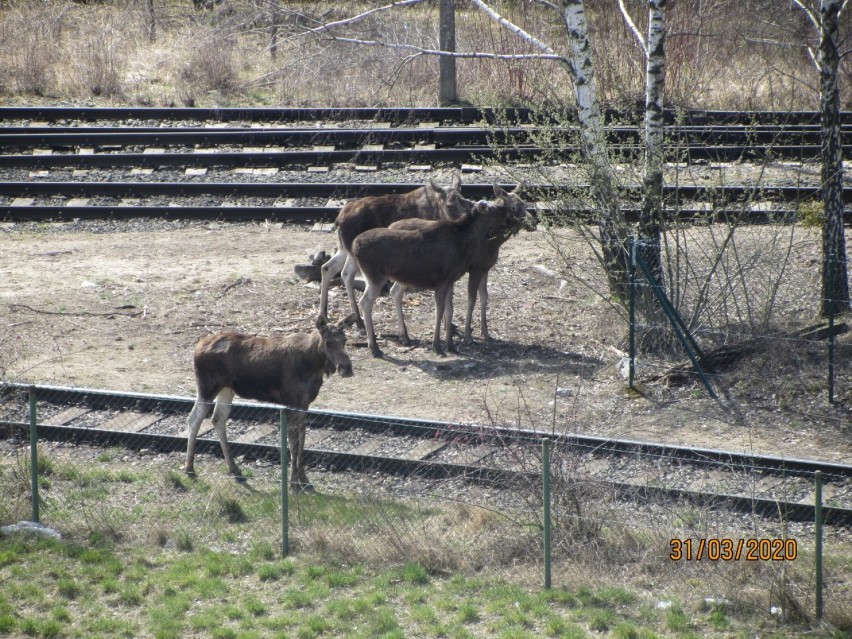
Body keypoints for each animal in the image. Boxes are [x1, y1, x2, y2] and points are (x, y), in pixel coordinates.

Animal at [186, 314, 356, 490]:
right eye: (328, 342)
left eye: (345, 340)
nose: (347, 369)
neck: (315, 365)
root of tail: (197, 346)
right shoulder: (292, 402)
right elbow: (293, 443)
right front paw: (293, 484)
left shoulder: (304, 404)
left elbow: (302, 439)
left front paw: (304, 480)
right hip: (207, 388)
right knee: (194, 419)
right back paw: (190, 469)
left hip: (226, 389)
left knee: (217, 419)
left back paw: (234, 469)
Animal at [320, 174, 470, 328]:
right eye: (449, 205)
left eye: (465, 201)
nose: (463, 221)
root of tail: (338, 219)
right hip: (352, 251)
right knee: (346, 274)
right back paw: (357, 318)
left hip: (343, 248)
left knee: (328, 268)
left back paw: (325, 314)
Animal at [350, 184, 528, 360]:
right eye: (492, 208)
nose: (510, 213)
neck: (465, 242)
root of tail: (353, 245)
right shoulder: (444, 279)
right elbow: (440, 310)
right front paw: (438, 345)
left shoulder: (451, 279)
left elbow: (450, 310)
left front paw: (451, 345)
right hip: (375, 276)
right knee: (365, 301)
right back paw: (375, 347)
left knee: (387, 295)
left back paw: (401, 338)